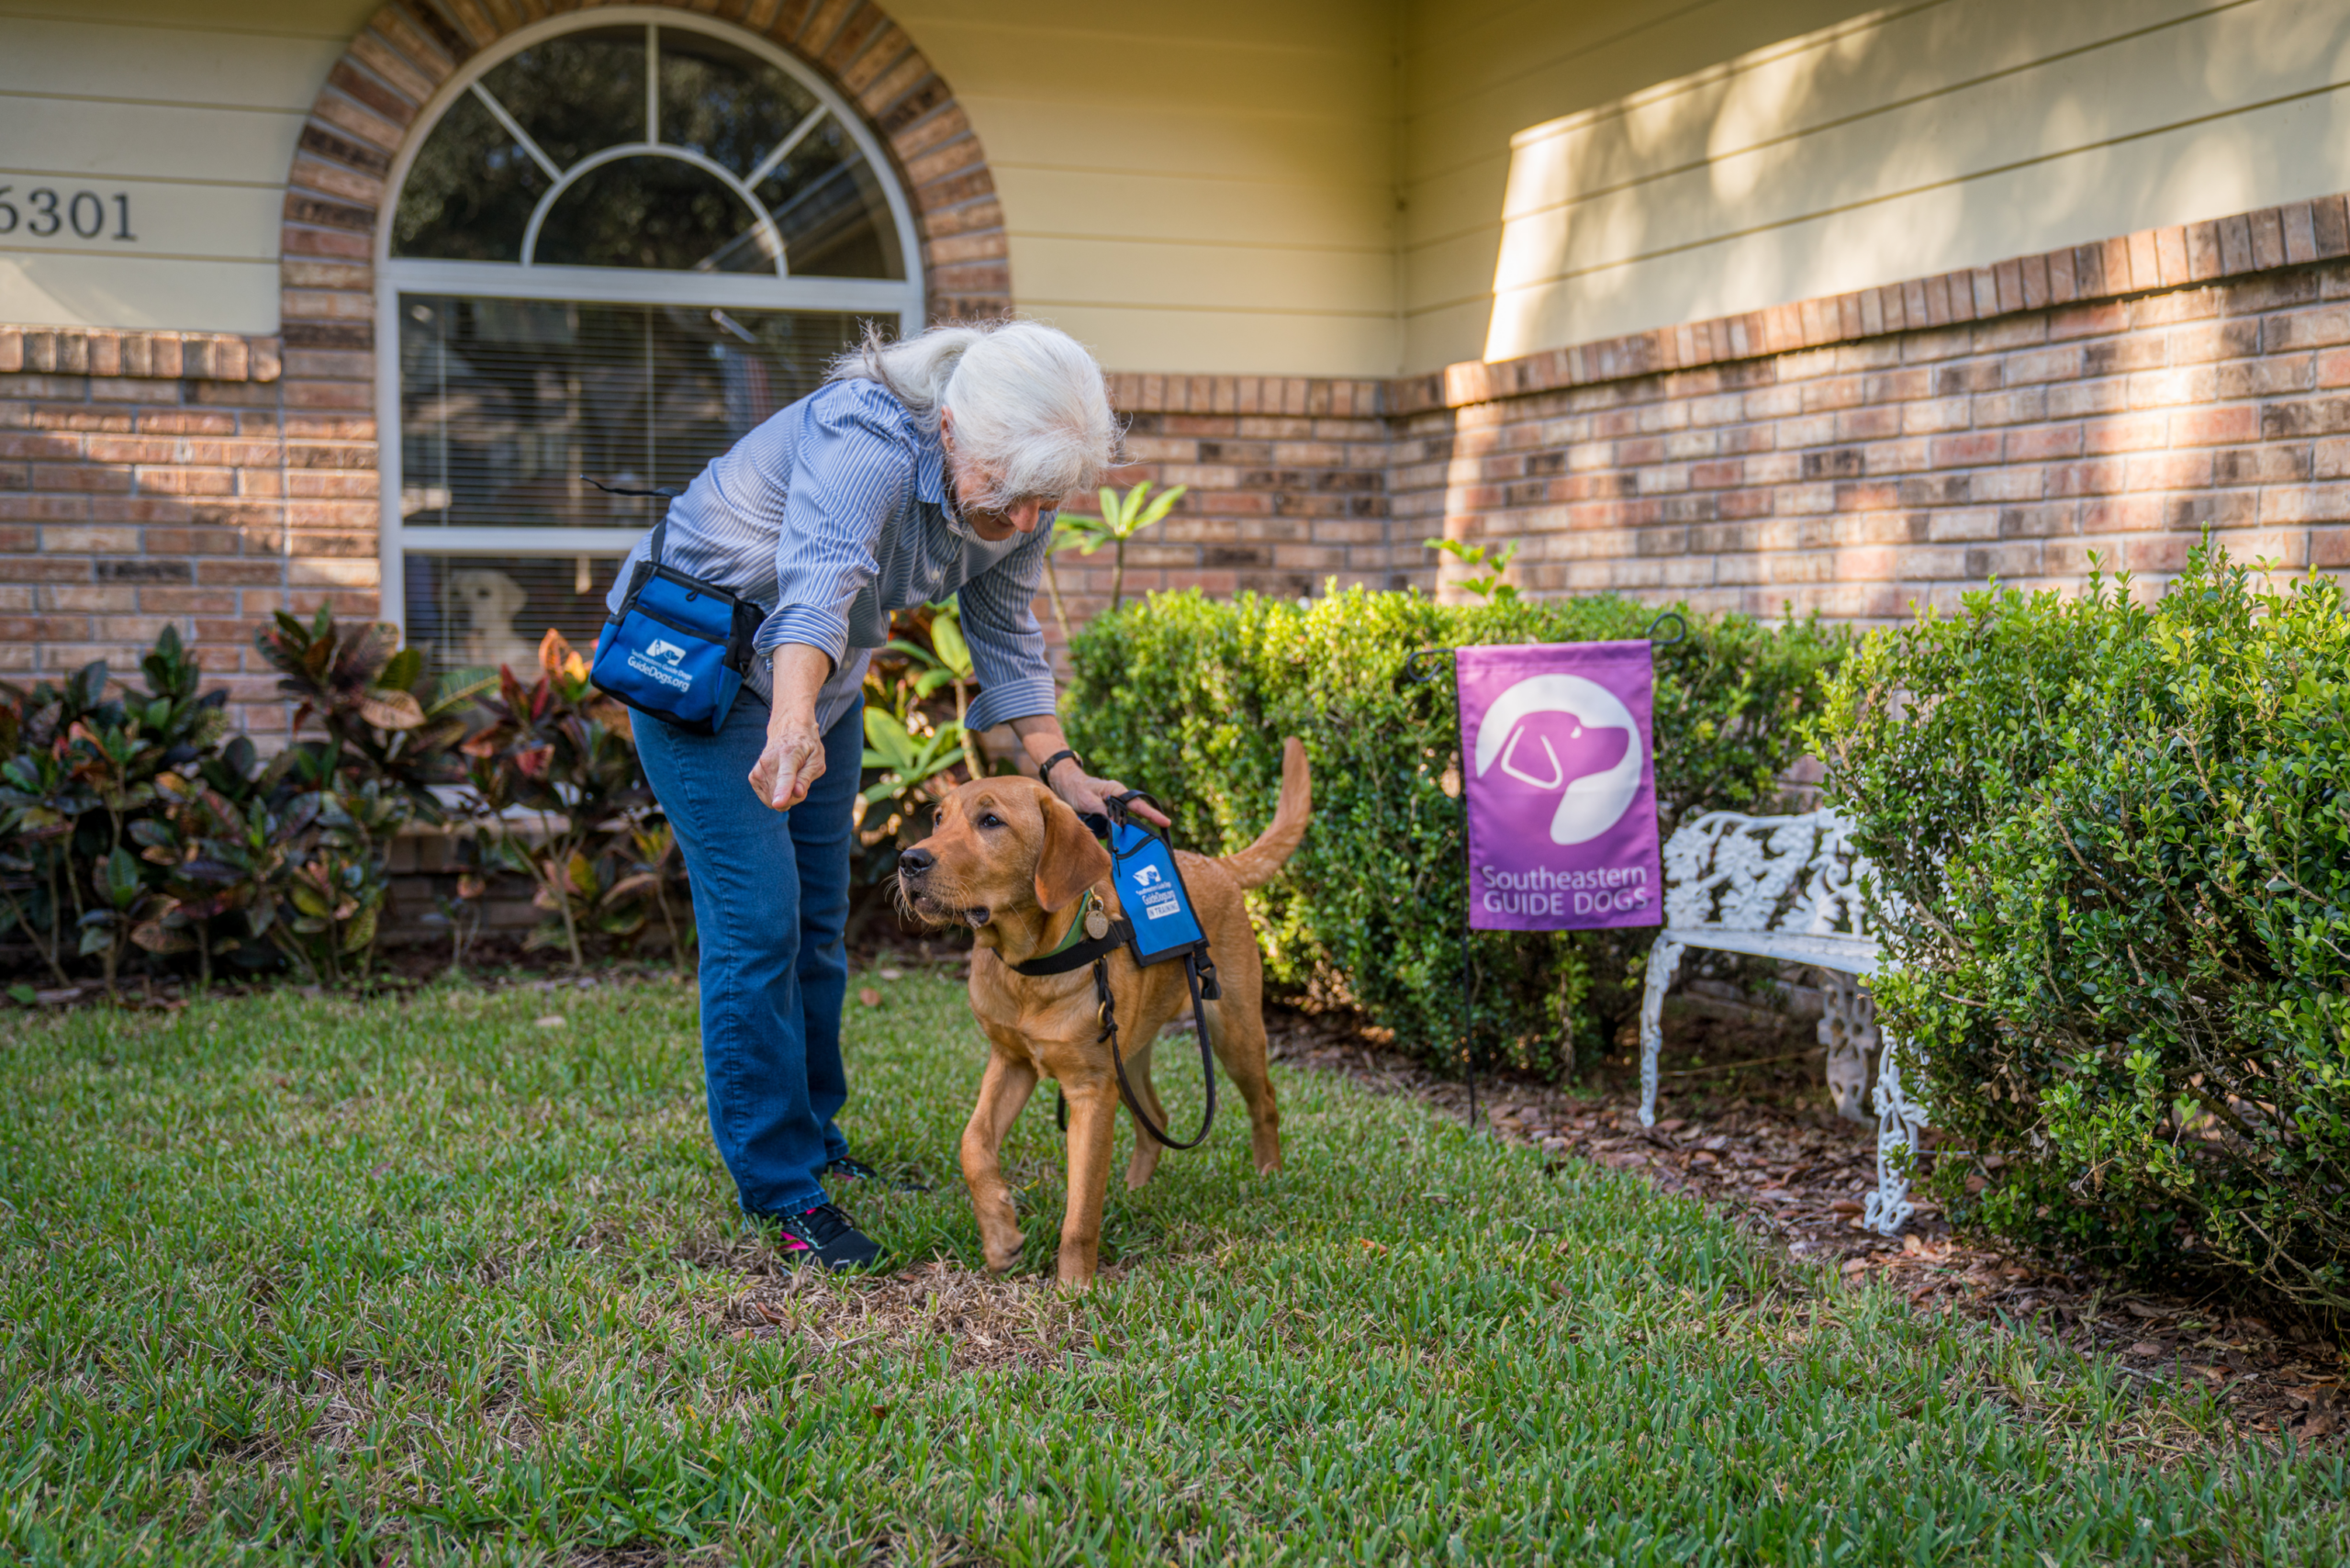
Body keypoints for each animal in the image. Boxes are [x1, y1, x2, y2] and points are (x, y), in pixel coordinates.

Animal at [892, 743, 1315, 1297]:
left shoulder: (1091, 1091)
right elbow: (973, 1145)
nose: (909, 860)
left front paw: (1074, 1289)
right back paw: (1136, 1192)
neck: (1030, 969)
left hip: (1232, 1032)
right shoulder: (1011, 1061)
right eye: (939, 819)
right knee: (1156, 1118)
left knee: (1264, 1100)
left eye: (991, 821)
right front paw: (1001, 1236)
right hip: (1128, 1053)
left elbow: (1082, 1209)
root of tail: (1214, 864)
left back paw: (1270, 1174)